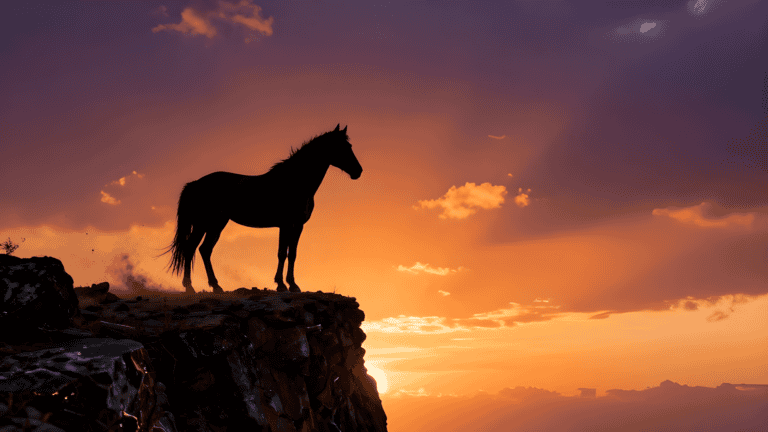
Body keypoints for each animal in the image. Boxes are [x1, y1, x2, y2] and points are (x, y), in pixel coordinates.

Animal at [163, 124, 362, 294]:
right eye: (342, 147)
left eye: (349, 145)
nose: (358, 171)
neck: (295, 182)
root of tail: (196, 183)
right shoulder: (285, 224)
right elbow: (282, 253)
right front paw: (281, 285)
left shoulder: (298, 225)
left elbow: (292, 254)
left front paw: (293, 285)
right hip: (203, 224)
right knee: (190, 248)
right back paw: (190, 287)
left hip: (217, 224)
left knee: (204, 250)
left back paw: (216, 286)